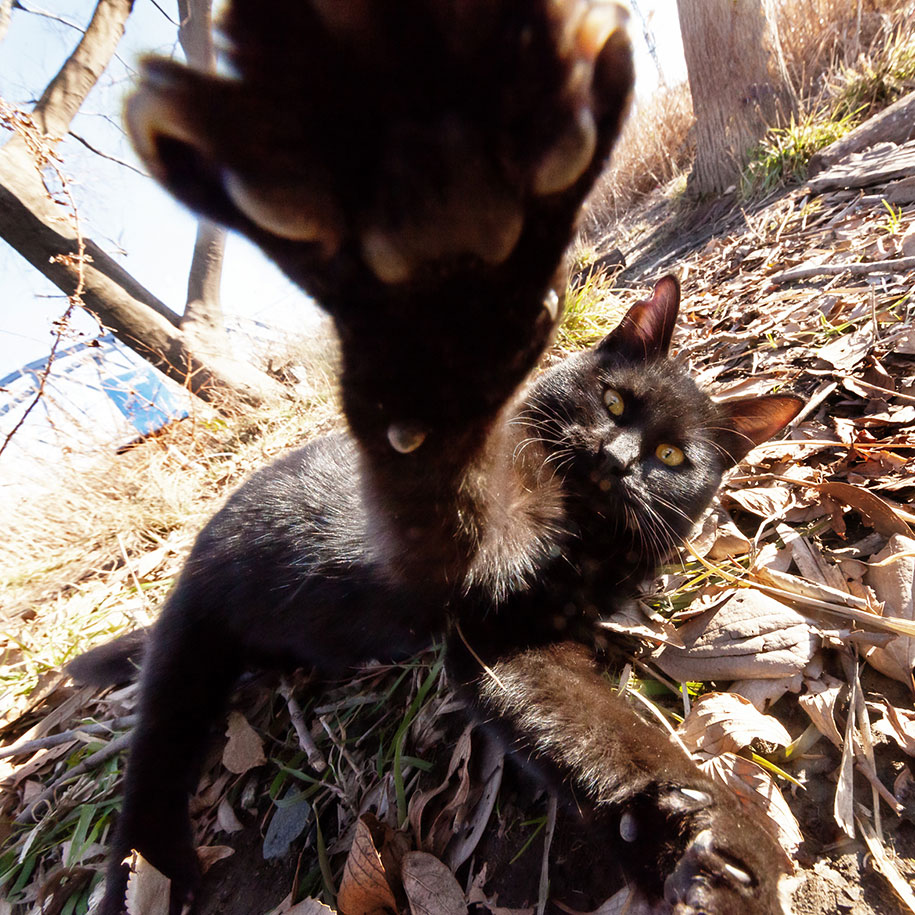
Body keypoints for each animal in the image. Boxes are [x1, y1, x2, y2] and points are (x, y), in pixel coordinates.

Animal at [73, 276, 800, 912]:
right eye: (615, 402)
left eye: (671, 457)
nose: (616, 458)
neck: (586, 535)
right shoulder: (484, 618)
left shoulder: (516, 643)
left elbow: (595, 730)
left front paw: (684, 837)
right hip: (186, 658)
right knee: (147, 779)